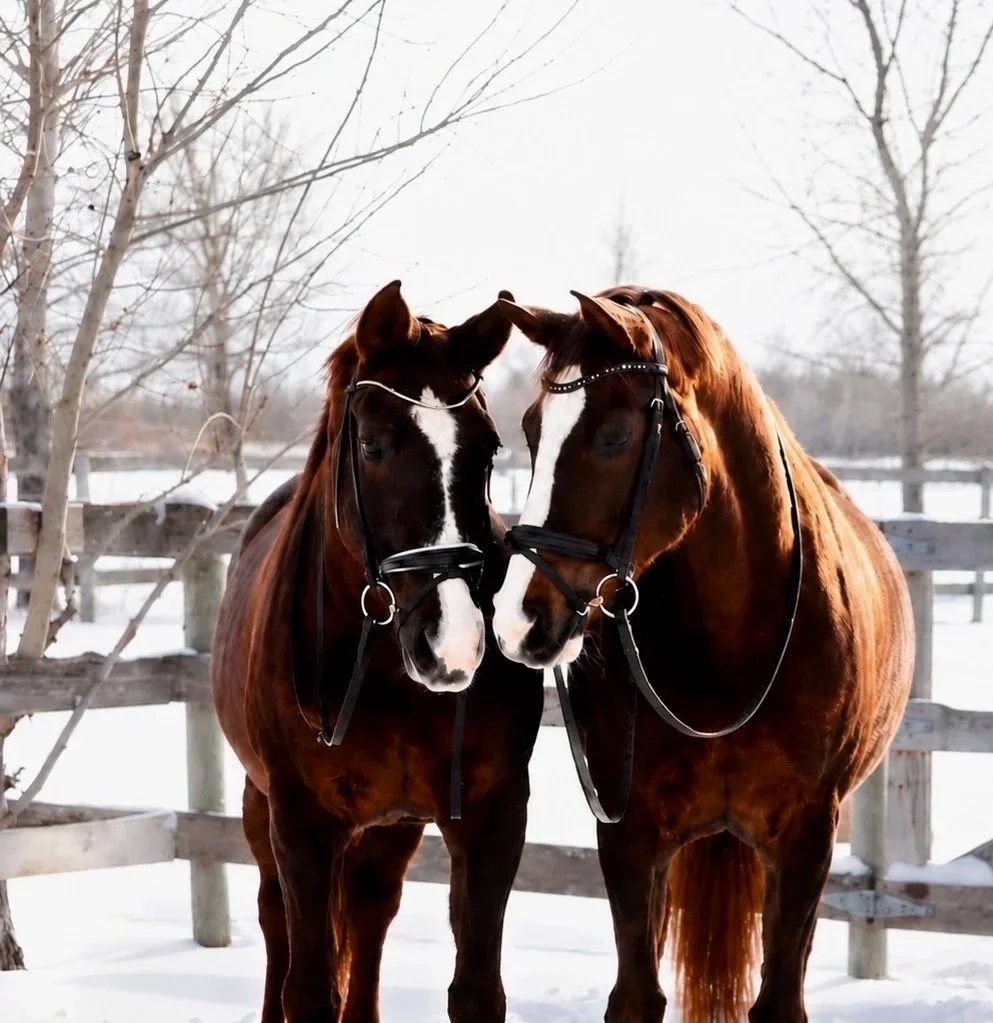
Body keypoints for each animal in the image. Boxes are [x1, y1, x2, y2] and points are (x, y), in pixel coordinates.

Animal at [212, 281, 544, 1023]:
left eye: (489, 449)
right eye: (371, 445)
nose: (454, 643)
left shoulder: (491, 814)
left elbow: (476, 990)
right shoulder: (301, 821)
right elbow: (309, 987)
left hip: (392, 827)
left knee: (369, 912)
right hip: (260, 804)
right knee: (274, 918)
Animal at [492, 286, 913, 1023]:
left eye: (614, 435)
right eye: (531, 430)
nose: (520, 619)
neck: (732, 651)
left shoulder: (807, 837)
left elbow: (778, 998)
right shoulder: (629, 835)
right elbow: (637, 993)